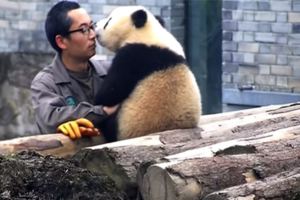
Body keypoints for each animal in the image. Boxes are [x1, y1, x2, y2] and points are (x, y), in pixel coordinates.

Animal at [95, 5, 200, 142]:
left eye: (108, 22)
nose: (95, 24)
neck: (146, 33)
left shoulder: (133, 56)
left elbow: (110, 93)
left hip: (126, 124)